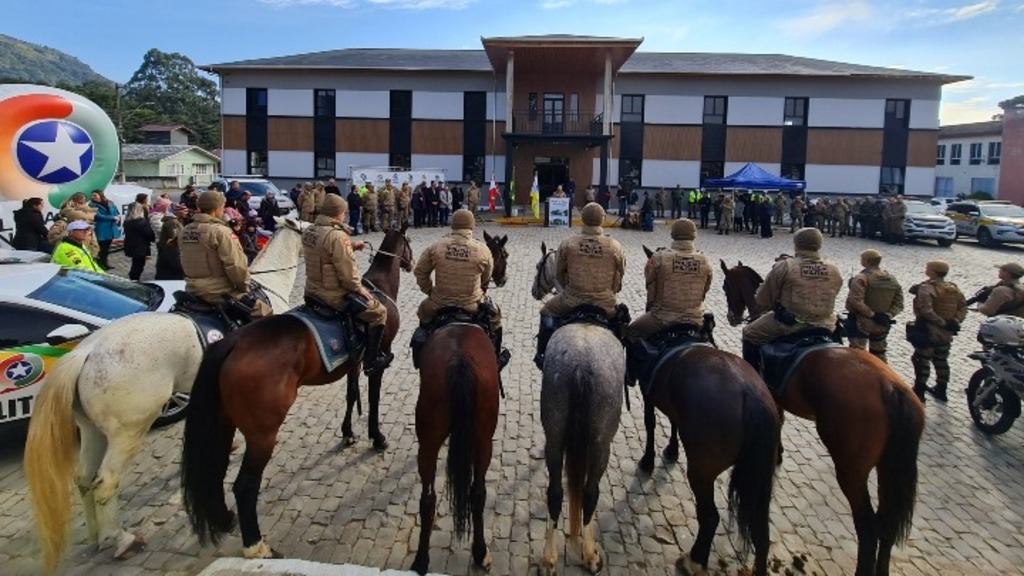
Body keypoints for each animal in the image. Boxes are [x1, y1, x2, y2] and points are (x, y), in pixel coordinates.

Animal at [23, 215, 303, 569]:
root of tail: (86, 351)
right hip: (128, 431)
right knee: (106, 482)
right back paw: (122, 540)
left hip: (91, 429)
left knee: (85, 479)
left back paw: (97, 536)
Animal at [179, 224, 411, 557]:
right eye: (408, 244)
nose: (410, 263)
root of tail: (231, 342)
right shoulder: (377, 359)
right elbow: (373, 398)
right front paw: (376, 437)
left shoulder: (353, 363)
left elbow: (351, 395)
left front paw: (348, 432)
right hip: (262, 435)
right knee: (244, 486)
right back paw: (256, 546)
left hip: (223, 423)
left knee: (216, 469)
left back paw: (225, 519)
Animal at [407, 230, 503, 569]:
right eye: (503, 256)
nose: (501, 277)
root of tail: (460, 361)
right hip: (479, 437)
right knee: (468, 493)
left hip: (440, 436)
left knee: (435, 497)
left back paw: (426, 559)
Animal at [634, 243, 778, 569]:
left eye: (726, 287)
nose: (733, 316)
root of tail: (749, 394)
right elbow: (672, 423)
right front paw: (671, 450)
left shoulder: (648, 393)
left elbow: (650, 423)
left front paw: (648, 459)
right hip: (758, 475)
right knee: (761, 532)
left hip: (703, 468)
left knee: (710, 517)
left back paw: (694, 560)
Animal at [720, 260, 929, 573]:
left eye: (725, 286)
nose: (733, 317)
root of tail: (890, 388)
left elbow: (778, 420)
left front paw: (777, 452)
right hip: (888, 466)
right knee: (888, 523)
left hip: (851, 468)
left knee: (868, 528)